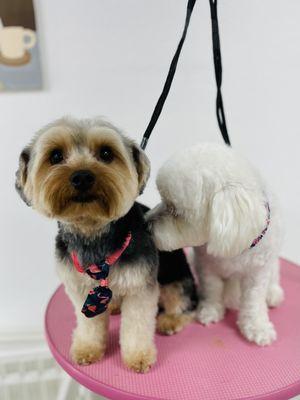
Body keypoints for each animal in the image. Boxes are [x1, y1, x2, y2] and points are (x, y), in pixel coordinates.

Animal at [148, 142, 284, 346]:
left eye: (175, 211)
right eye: (162, 198)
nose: (144, 222)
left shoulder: (257, 271)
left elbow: (253, 300)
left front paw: (257, 327)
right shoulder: (206, 266)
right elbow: (212, 289)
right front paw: (210, 311)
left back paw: (273, 293)